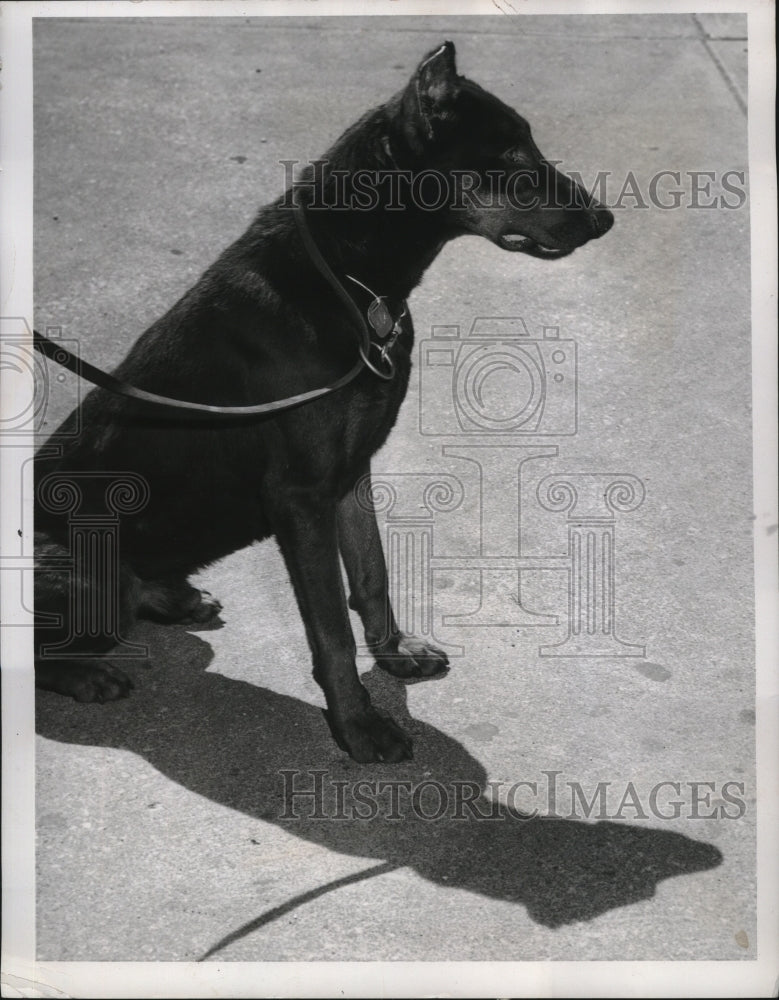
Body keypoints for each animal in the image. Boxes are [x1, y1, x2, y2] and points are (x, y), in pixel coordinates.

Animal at [35, 37, 608, 756]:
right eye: (509, 155)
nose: (605, 219)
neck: (349, 278)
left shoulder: (351, 469)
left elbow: (371, 573)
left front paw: (395, 653)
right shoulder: (300, 495)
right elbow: (330, 626)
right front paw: (360, 726)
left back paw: (173, 598)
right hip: (85, 570)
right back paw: (88, 674)